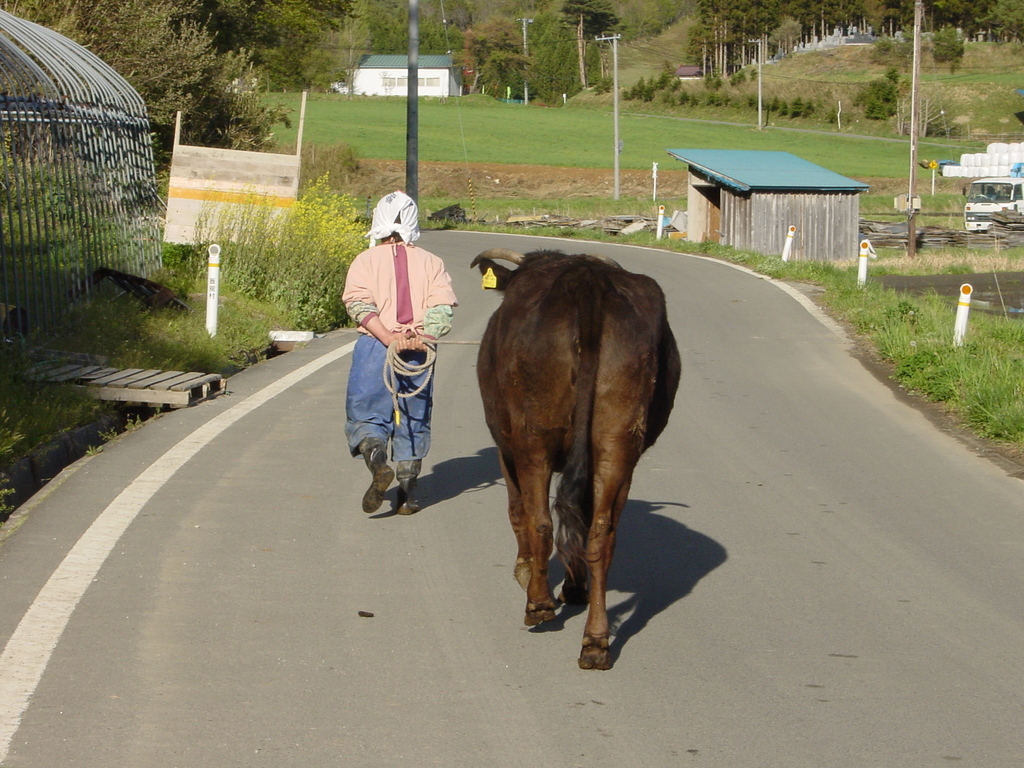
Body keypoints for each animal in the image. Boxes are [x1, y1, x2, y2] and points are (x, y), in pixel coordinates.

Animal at [471, 246, 679, 667]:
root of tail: (587, 277)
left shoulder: (505, 446)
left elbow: (518, 511)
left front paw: (525, 571)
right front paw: (574, 586)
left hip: (533, 437)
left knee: (540, 521)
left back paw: (538, 604)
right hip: (617, 442)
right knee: (600, 534)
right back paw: (596, 641)